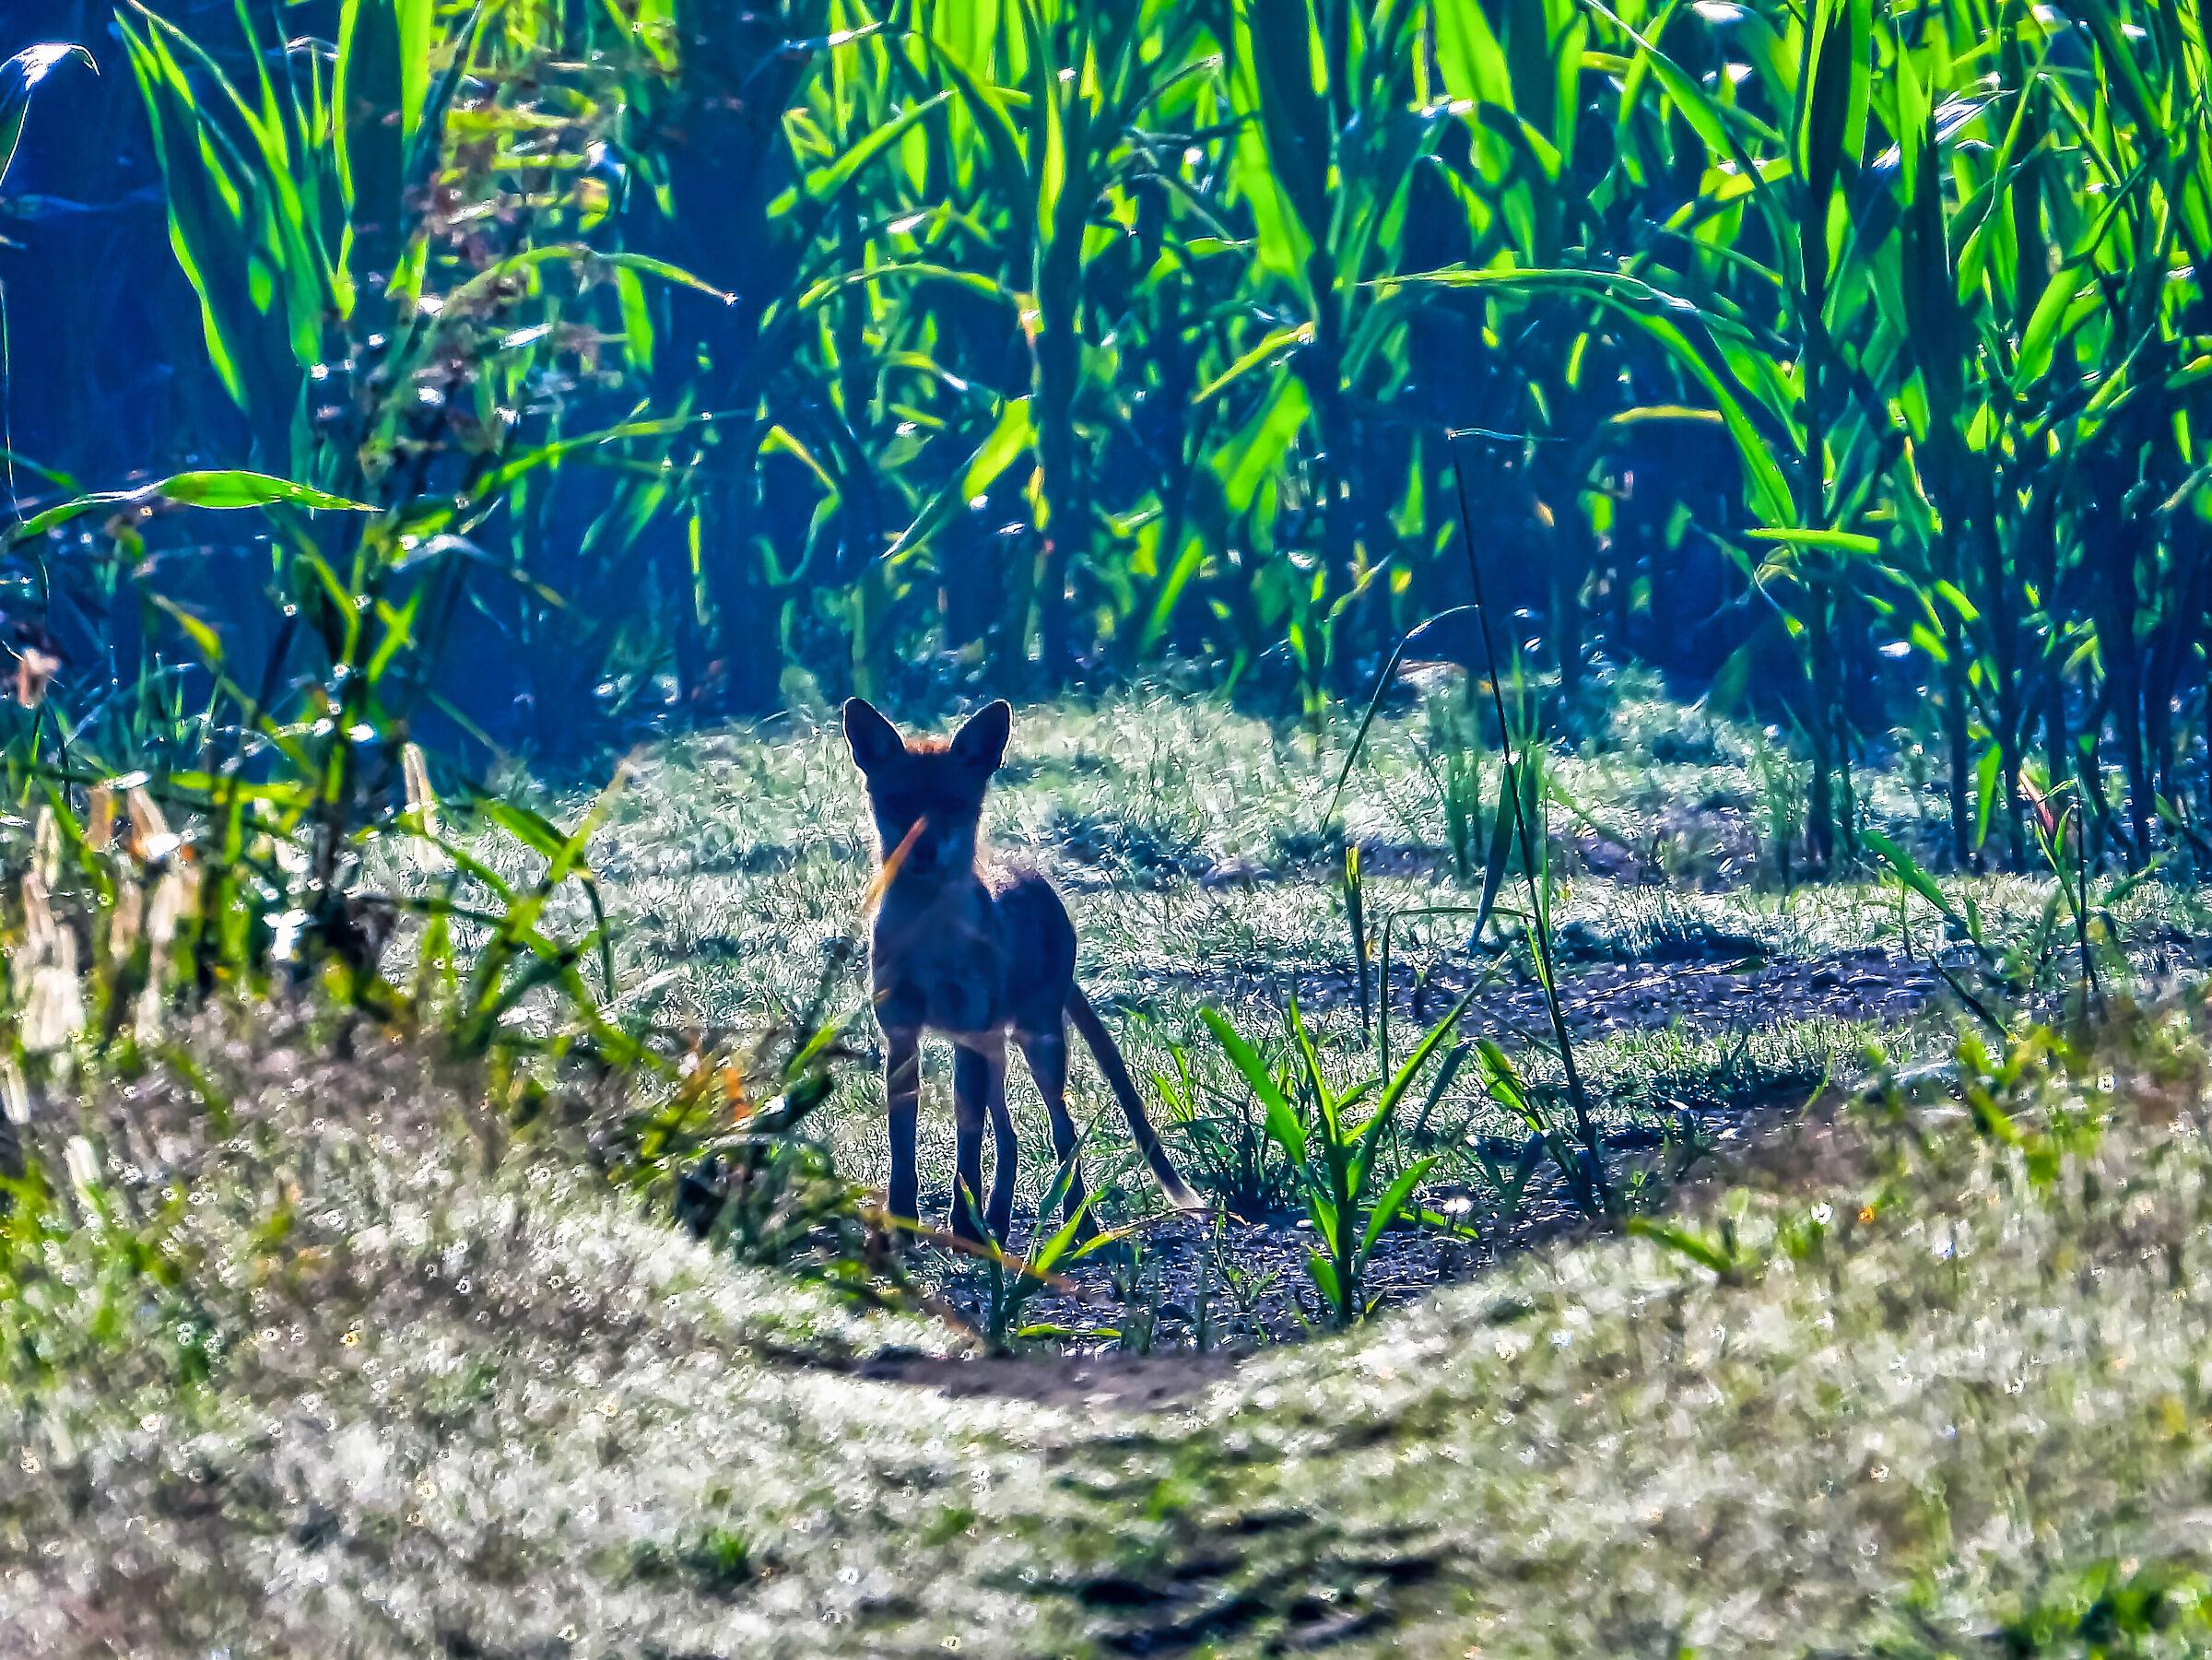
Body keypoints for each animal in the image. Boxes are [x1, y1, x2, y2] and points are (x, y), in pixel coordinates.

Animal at [842, 696, 1199, 1245]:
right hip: (996, 1052)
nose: (924, 851)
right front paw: (903, 1221)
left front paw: (963, 1226)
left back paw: (1077, 1222)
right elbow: (903, 1145)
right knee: (1008, 1137)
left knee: (1062, 1134)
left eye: (953, 804)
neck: (930, 940)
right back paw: (998, 1217)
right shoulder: (902, 1035)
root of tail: (1036, 879)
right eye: (898, 802)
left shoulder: (966, 1034)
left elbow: (967, 1146)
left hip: (1037, 1048)